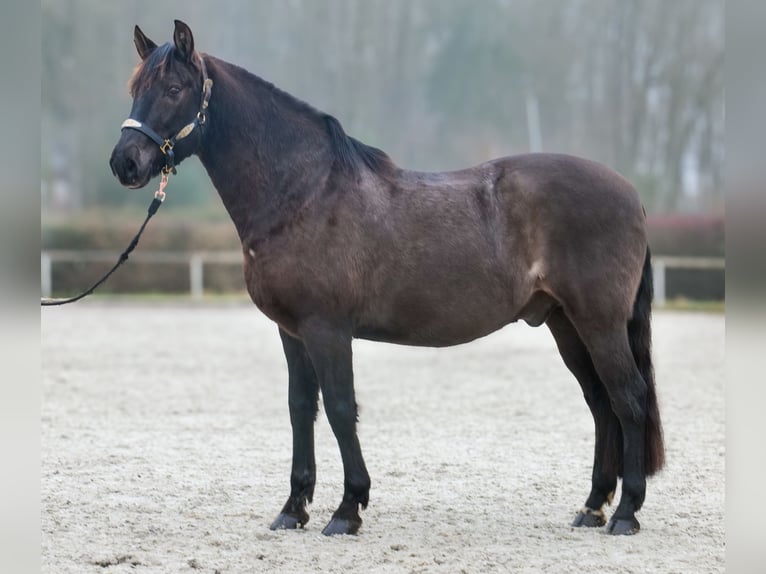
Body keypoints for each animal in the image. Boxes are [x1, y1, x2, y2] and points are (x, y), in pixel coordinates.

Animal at [109, 20, 664, 536]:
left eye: (174, 89)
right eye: (134, 86)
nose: (125, 163)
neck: (304, 192)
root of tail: (631, 195)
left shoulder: (327, 330)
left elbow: (339, 408)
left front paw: (347, 509)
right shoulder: (291, 332)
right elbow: (300, 409)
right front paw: (293, 509)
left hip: (599, 323)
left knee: (629, 399)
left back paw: (626, 513)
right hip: (566, 324)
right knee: (601, 404)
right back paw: (592, 507)